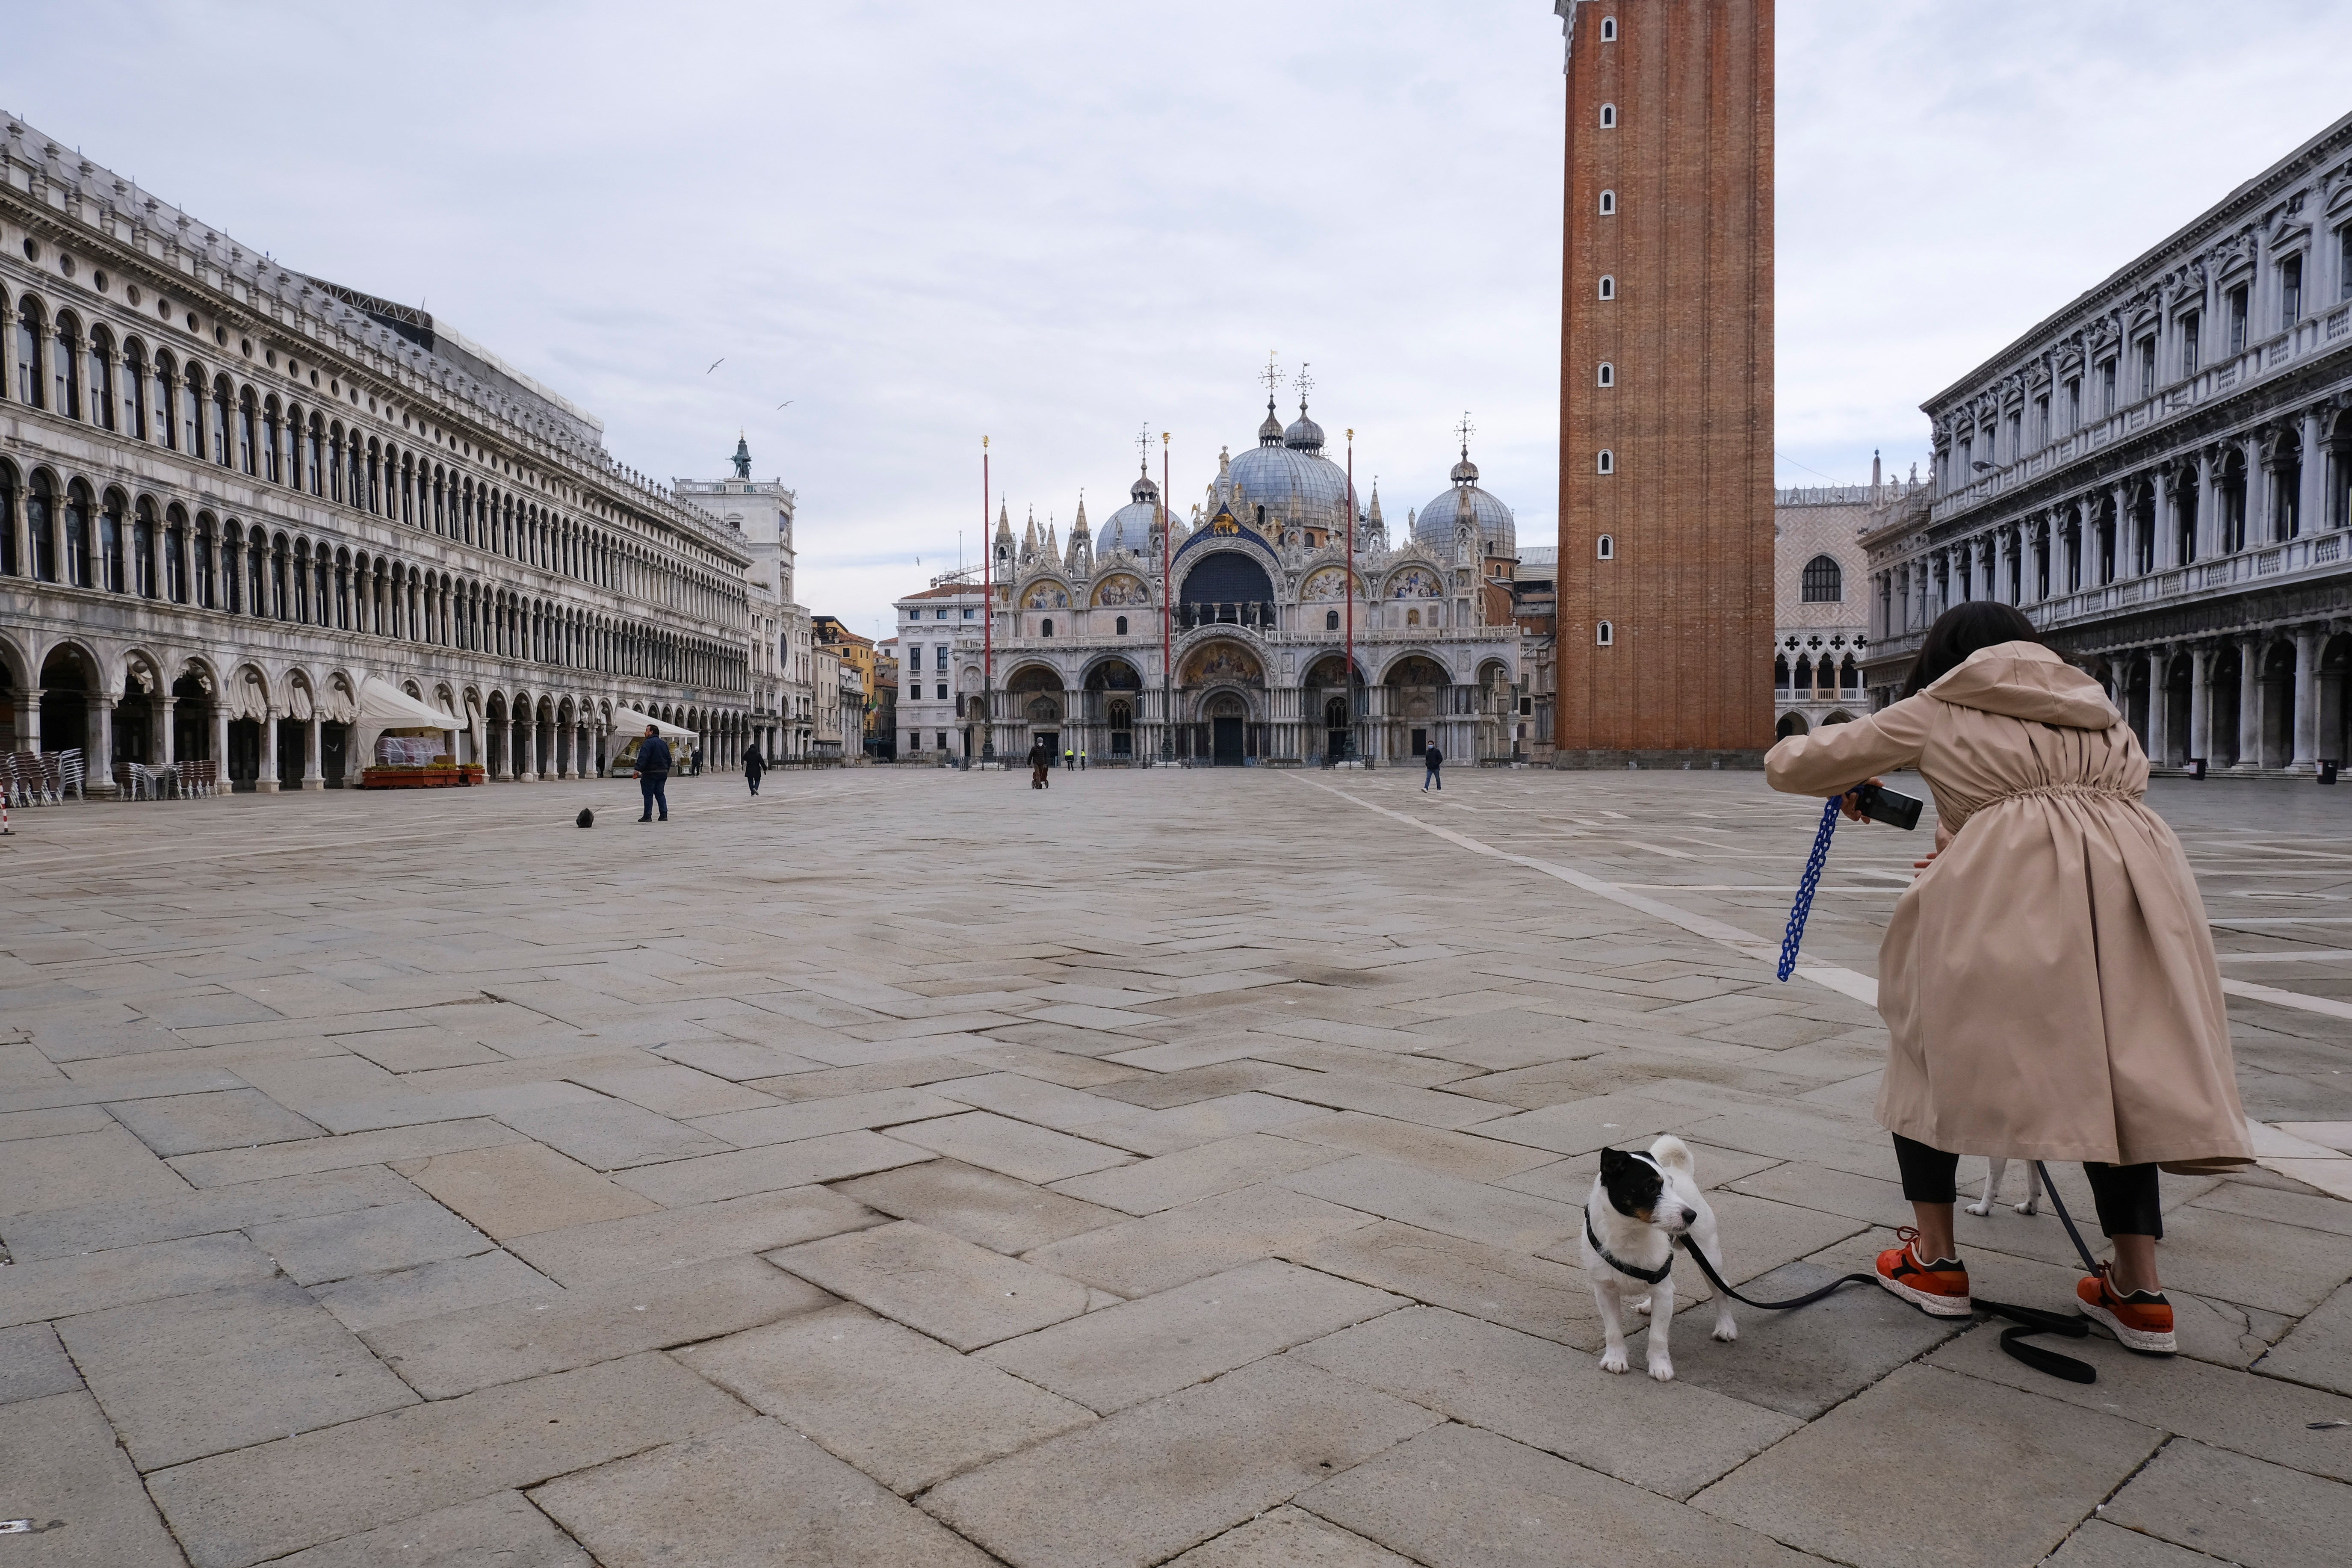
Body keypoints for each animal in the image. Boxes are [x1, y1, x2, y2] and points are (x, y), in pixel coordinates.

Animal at [1581, 1133, 1731, 1382]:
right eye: (1651, 1187)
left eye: (1671, 1186)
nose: (1691, 1215)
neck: (1631, 1234)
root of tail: (1682, 1172)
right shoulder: (1605, 1291)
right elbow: (1613, 1330)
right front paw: (1615, 1358)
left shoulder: (1662, 1288)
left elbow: (1658, 1335)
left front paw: (1660, 1366)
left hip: (1708, 1255)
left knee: (1722, 1290)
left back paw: (1726, 1327)